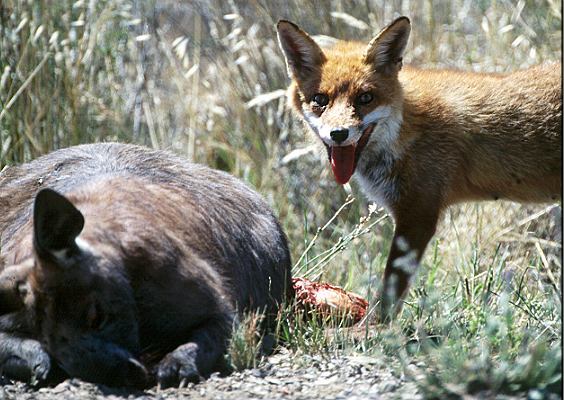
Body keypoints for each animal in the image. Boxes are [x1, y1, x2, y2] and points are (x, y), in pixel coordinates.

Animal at [0, 143, 290, 388]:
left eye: (97, 316)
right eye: (53, 347)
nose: (120, 376)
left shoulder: (224, 314)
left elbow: (202, 342)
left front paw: (176, 366)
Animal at [276, 16, 560, 316]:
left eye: (365, 98)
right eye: (320, 100)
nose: (339, 134)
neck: (405, 127)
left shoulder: (418, 216)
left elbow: (387, 298)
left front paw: (374, 329)